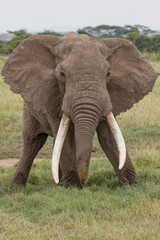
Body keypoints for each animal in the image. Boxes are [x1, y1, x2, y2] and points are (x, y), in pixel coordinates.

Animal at [1, 32, 158, 189]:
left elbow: (108, 136)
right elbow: (66, 137)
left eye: (108, 73)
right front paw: (74, 187)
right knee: (33, 140)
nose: (85, 177)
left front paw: (131, 185)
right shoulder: (53, 96)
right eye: (62, 74)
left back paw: (60, 182)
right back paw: (18, 186)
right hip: (29, 106)